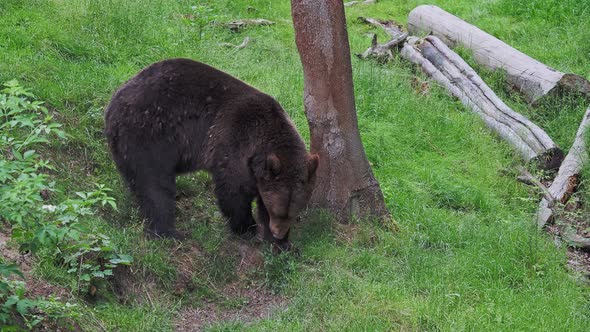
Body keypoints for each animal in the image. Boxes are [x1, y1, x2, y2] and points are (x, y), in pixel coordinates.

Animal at [105, 58, 320, 250]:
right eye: (278, 210)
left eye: (292, 212)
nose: (278, 232)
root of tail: (113, 103)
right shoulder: (234, 144)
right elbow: (233, 191)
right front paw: (247, 228)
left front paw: (283, 244)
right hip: (149, 135)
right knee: (155, 185)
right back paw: (168, 232)